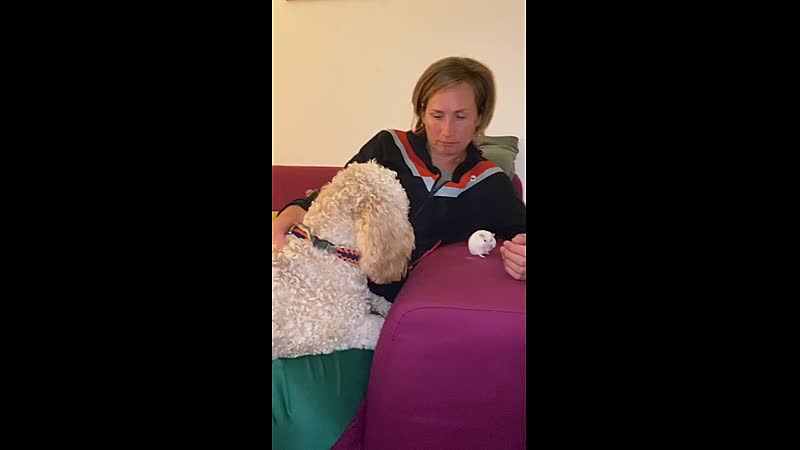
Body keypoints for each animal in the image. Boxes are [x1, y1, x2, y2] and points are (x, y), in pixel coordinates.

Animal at [272, 160, 415, 360]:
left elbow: (377, 299)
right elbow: (382, 326)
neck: (330, 248)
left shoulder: (362, 297)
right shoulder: (355, 330)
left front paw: (388, 307)